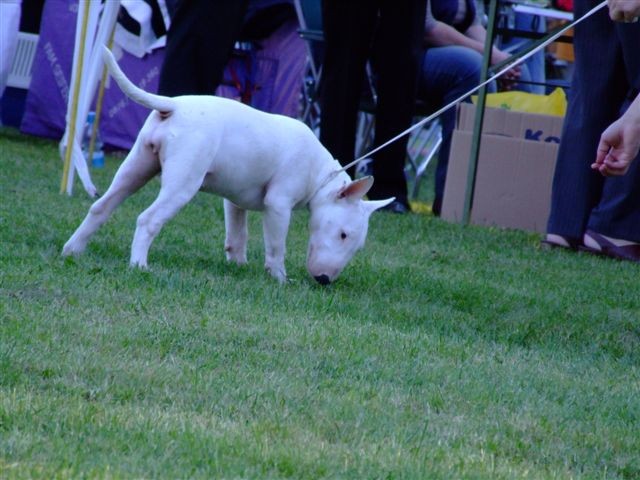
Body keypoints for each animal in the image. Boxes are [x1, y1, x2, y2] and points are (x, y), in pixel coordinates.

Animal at [62, 47, 392, 284]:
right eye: (343, 234)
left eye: (354, 245)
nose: (324, 280)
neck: (320, 174)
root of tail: (174, 105)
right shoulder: (278, 204)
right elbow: (276, 245)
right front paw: (279, 278)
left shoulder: (235, 201)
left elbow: (238, 234)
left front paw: (238, 265)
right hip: (183, 181)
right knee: (147, 219)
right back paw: (139, 264)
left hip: (137, 166)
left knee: (101, 207)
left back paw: (73, 250)